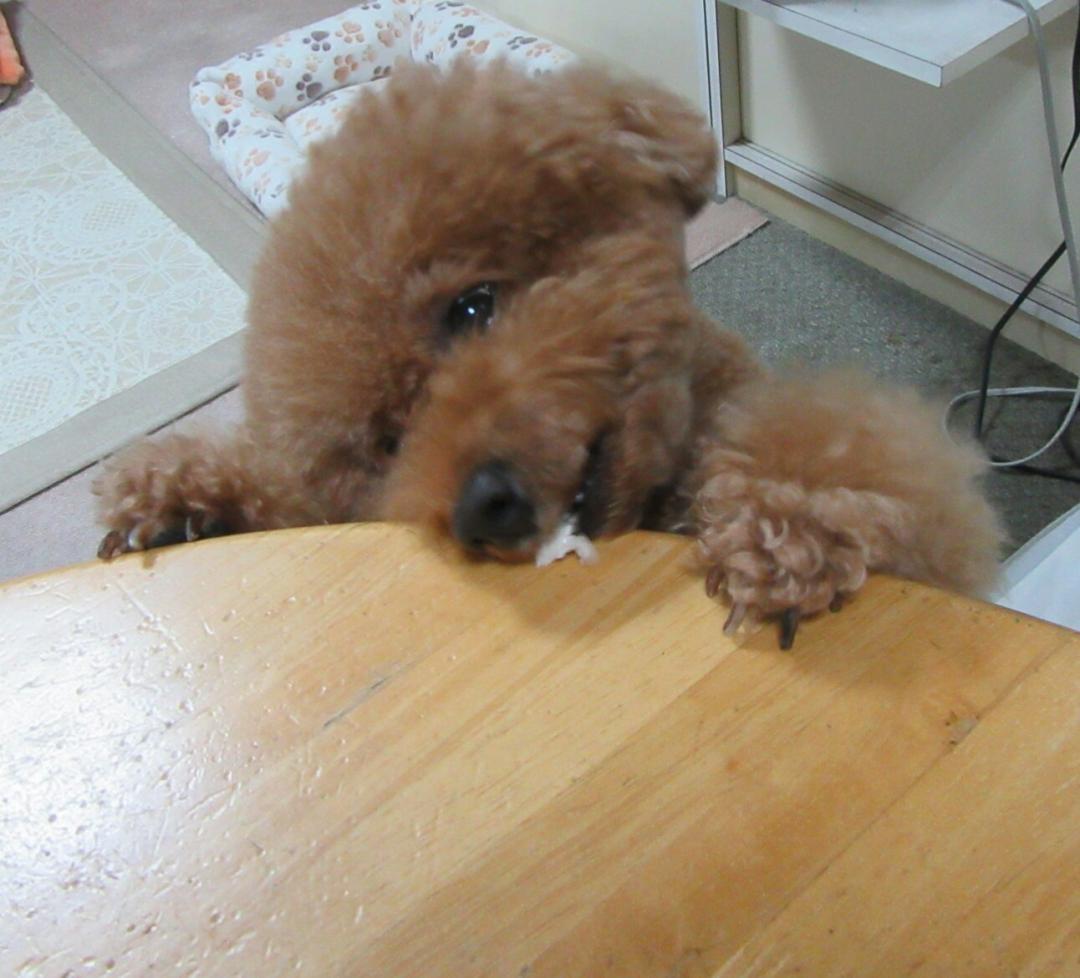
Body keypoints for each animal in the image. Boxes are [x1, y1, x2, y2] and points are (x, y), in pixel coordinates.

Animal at [97, 59, 997, 639]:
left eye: (472, 306)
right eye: (389, 443)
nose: (480, 506)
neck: (658, 500)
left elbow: (844, 450)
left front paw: (784, 529)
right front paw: (182, 499)